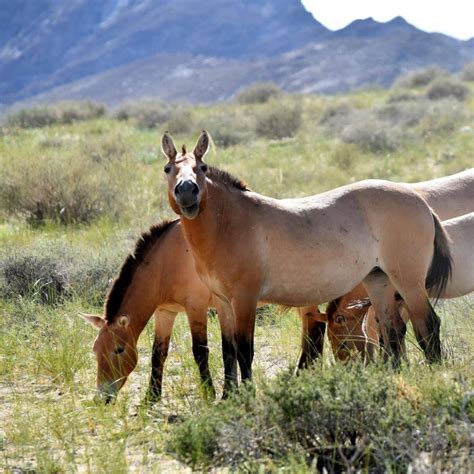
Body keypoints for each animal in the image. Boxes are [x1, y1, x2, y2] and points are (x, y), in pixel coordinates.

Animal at [81, 220, 239, 402]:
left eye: (119, 349)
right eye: (95, 349)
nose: (101, 398)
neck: (169, 260)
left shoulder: (196, 308)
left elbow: (201, 351)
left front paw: (209, 393)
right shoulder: (165, 312)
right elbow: (158, 353)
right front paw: (151, 396)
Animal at [160, 131, 452, 386]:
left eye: (202, 167)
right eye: (168, 168)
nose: (187, 191)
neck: (231, 224)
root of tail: (421, 202)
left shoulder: (244, 300)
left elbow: (245, 352)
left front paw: (248, 395)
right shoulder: (223, 303)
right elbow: (228, 352)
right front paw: (228, 397)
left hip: (408, 282)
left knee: (428, 325)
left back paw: (435, 375)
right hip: (378, 280)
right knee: (392, 329)